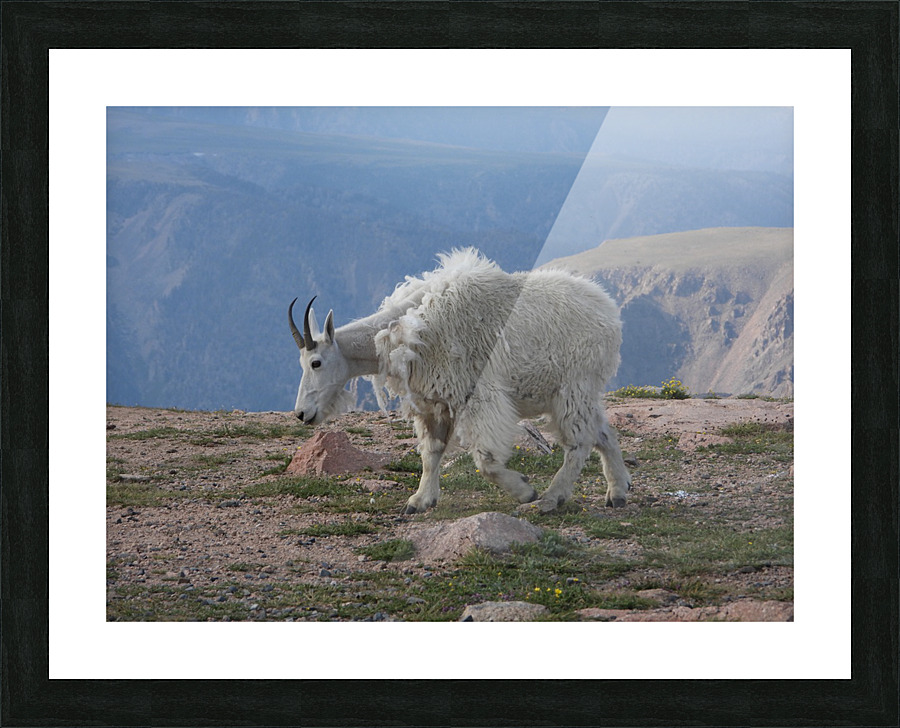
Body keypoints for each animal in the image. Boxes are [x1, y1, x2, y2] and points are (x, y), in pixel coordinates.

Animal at [288, 248, 631, 514]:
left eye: (316, 362)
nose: (302, 414)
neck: (407, 329)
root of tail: (609, 313)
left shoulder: (478, 396)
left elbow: (486, 460)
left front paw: (524, 490)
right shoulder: (433, 402)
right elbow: (431, 452)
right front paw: (419, 501)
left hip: (573, 385)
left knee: (579, 441)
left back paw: (550, 498)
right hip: (573, 391)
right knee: (602, 432)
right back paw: (618, 491)